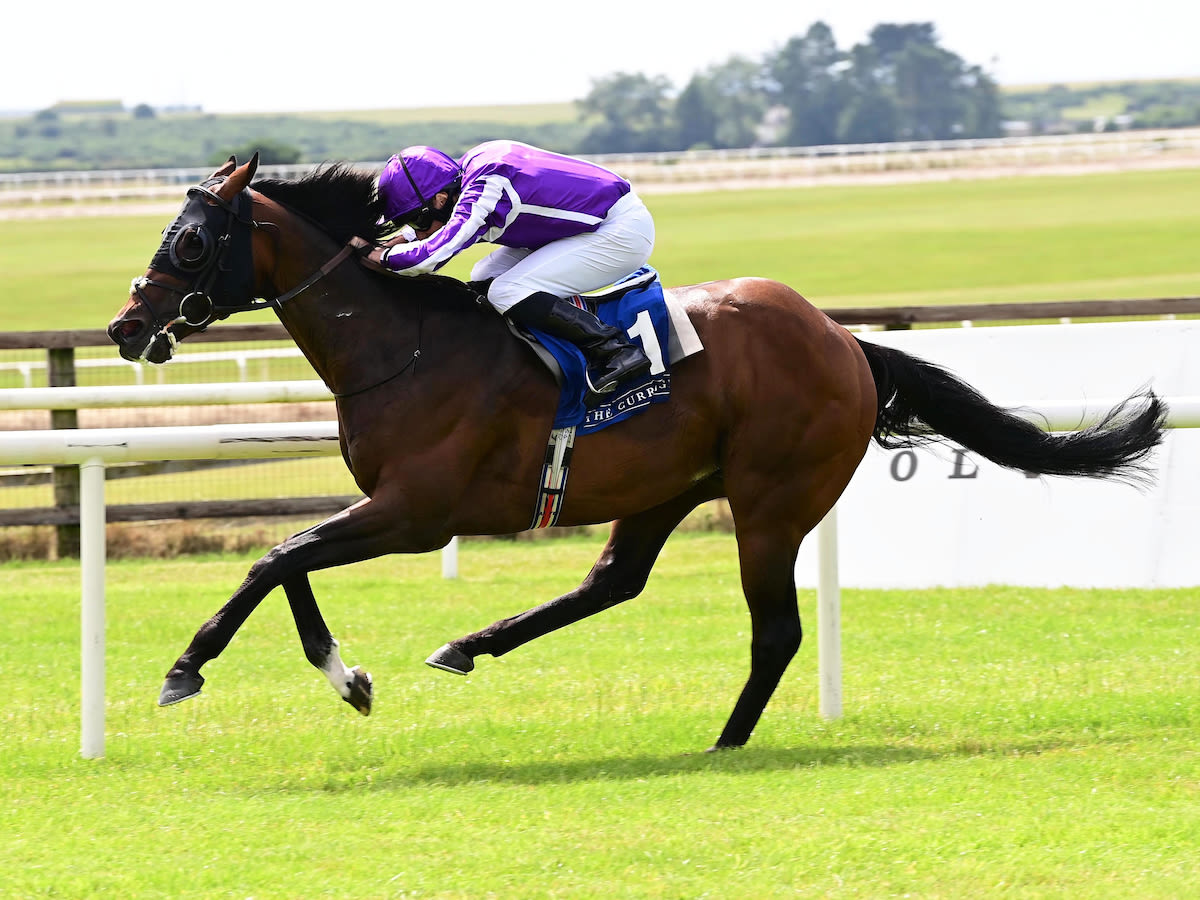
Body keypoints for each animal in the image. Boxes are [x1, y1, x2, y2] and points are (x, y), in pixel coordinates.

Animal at [110, 157, 1161, 753]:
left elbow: (273, 557)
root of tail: (842, 339)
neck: (400, 345)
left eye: (191, 243)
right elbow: (288, 560)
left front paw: (189, 668)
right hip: (668, 484)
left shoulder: (415, 513)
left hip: (771, 501)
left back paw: (726, 742)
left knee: (775, 632)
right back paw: (471, 644)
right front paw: (349, 676)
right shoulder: (391, 510)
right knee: (613, 581)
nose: (126, 326)